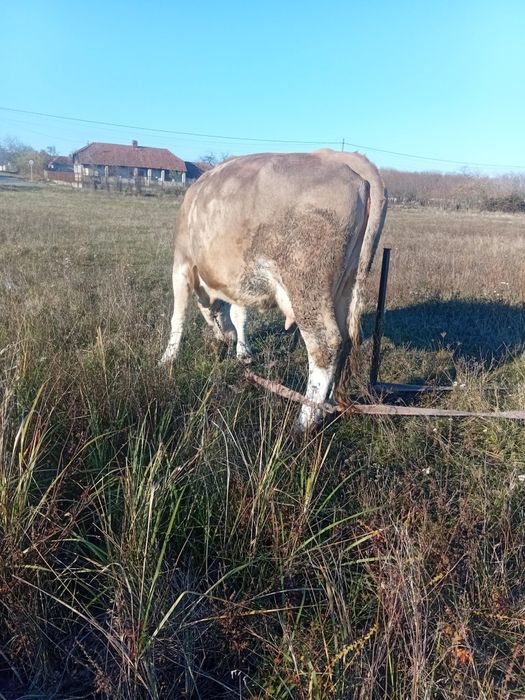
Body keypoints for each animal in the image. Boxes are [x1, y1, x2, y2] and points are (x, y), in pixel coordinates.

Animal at [161, 149, 387, 431]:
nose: (224, 339)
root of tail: (342, 158)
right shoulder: (240, 280)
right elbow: (239, 315)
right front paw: (242, 351)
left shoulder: (181, 262)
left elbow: (178, 316)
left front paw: (168, 358)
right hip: (347, 285)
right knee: (345, 341)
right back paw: (328, 404)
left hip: (307, 285)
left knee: (326, 344)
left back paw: (305, 420)